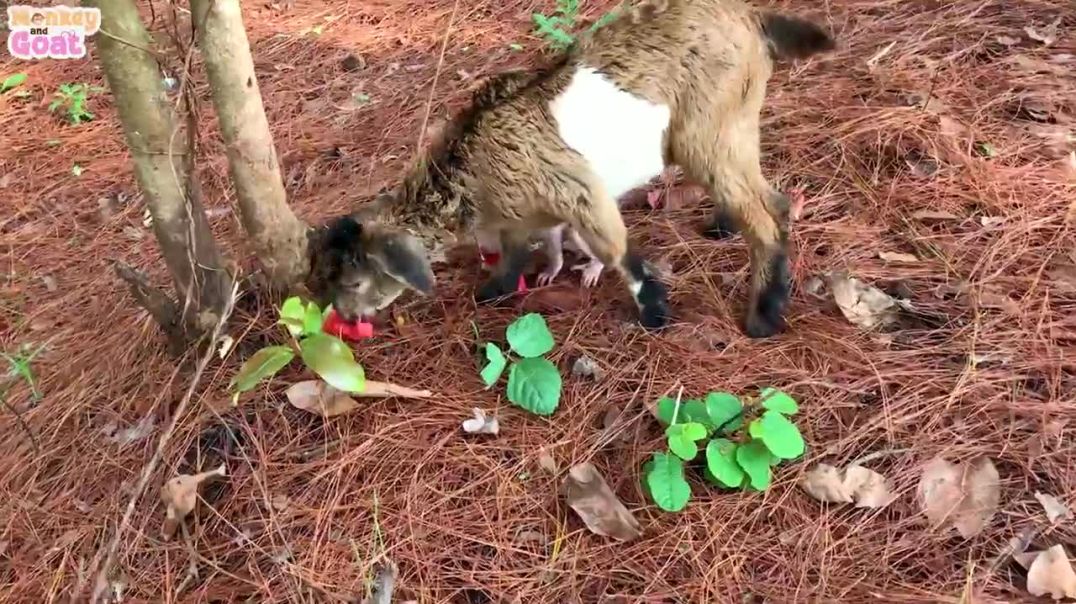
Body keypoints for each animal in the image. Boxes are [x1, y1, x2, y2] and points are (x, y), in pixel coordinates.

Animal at [307, 0, 835, 336]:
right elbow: (516, 252)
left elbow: (618, 250)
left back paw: (763, 316)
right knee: (753, 189)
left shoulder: (575, 190)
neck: (470, 167)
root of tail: (751, 16)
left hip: (708, 121)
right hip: (736, 118)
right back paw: (724, 222)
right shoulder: (517, 216)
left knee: (767, 211)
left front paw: (654, 314)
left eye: (353, 282)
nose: (344, 320)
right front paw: (496, 289)